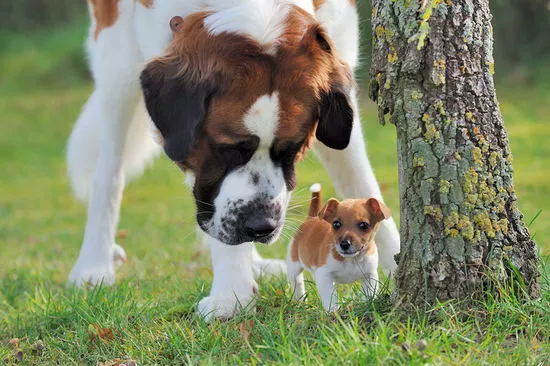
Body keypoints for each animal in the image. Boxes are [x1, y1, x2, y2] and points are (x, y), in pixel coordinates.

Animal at [288, 183, 392, 312]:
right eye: (336, 224)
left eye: (364, 225)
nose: (344, 244)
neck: (352, 260)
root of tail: (311, 218)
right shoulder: (324, 276)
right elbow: (330, 297)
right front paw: (333, 312)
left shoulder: (369, 275)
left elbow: (369, 294)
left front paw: (368, 305)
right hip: (293, 266)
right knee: (297, 283)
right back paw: (300, 301)